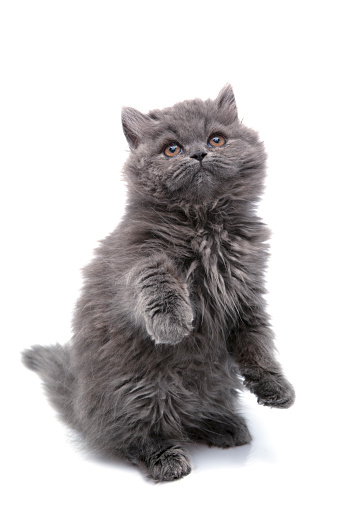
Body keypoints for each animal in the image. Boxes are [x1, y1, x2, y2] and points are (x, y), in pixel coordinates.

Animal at [23, 86, 294, 480]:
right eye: (172, 149)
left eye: (217, 139)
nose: (199, 153)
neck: (205, 224)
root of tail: (83, 408)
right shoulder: (136, 259)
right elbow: (157, 281)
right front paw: (172, 323)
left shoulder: (246, 292)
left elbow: (257, 342)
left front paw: (275, 386)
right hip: (138, 392)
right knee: (135, 437)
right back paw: (166, 458)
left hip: (211, 385)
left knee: (193, 418)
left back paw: (224, 426)